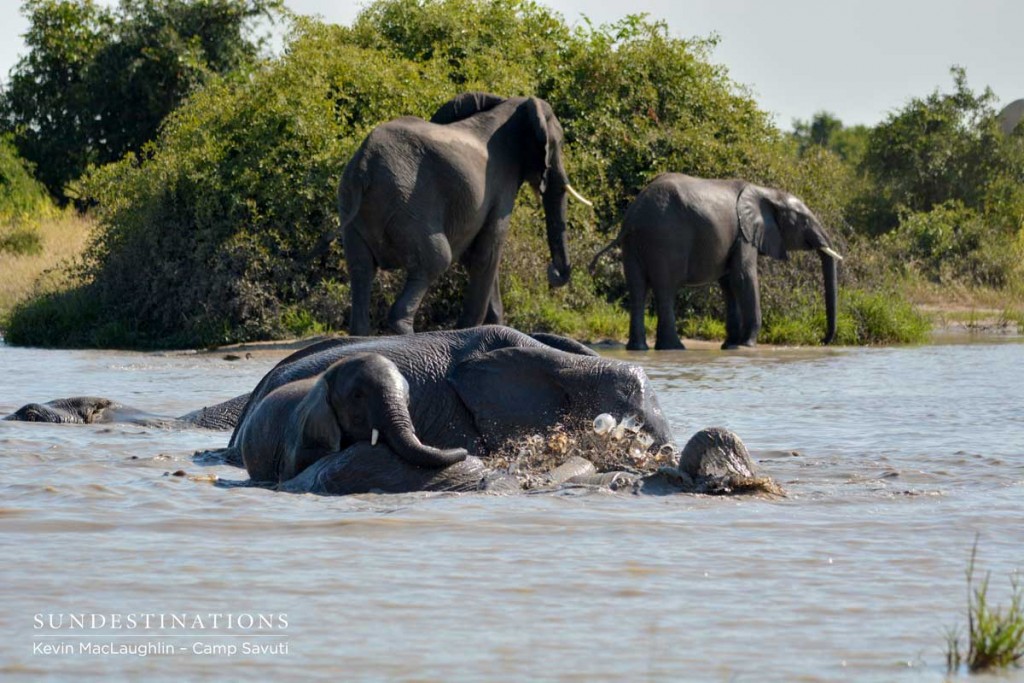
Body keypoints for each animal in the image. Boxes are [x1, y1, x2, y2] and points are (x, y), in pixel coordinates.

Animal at [319, 90, 593, 335]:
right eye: (559, 143)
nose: (552, 271)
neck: (513, 105)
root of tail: (364, 166)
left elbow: (475, 256)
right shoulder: (500, 183)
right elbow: (488, 252)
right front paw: (468, 329)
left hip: (353, 208)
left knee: (361, 269)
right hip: (407, 205)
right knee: (436, 260)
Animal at [589, 171, 843, 352]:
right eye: (804, 220)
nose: (823, 340)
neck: (767, 192)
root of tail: (632, 217)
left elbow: (728, 282)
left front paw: (729, 346)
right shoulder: (744, 233)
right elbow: (743, 276)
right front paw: (745, 345)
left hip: (633, 244)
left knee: (637, 288)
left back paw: (638, 349)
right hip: (666, 237)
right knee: (665, 288)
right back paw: (674, 348)